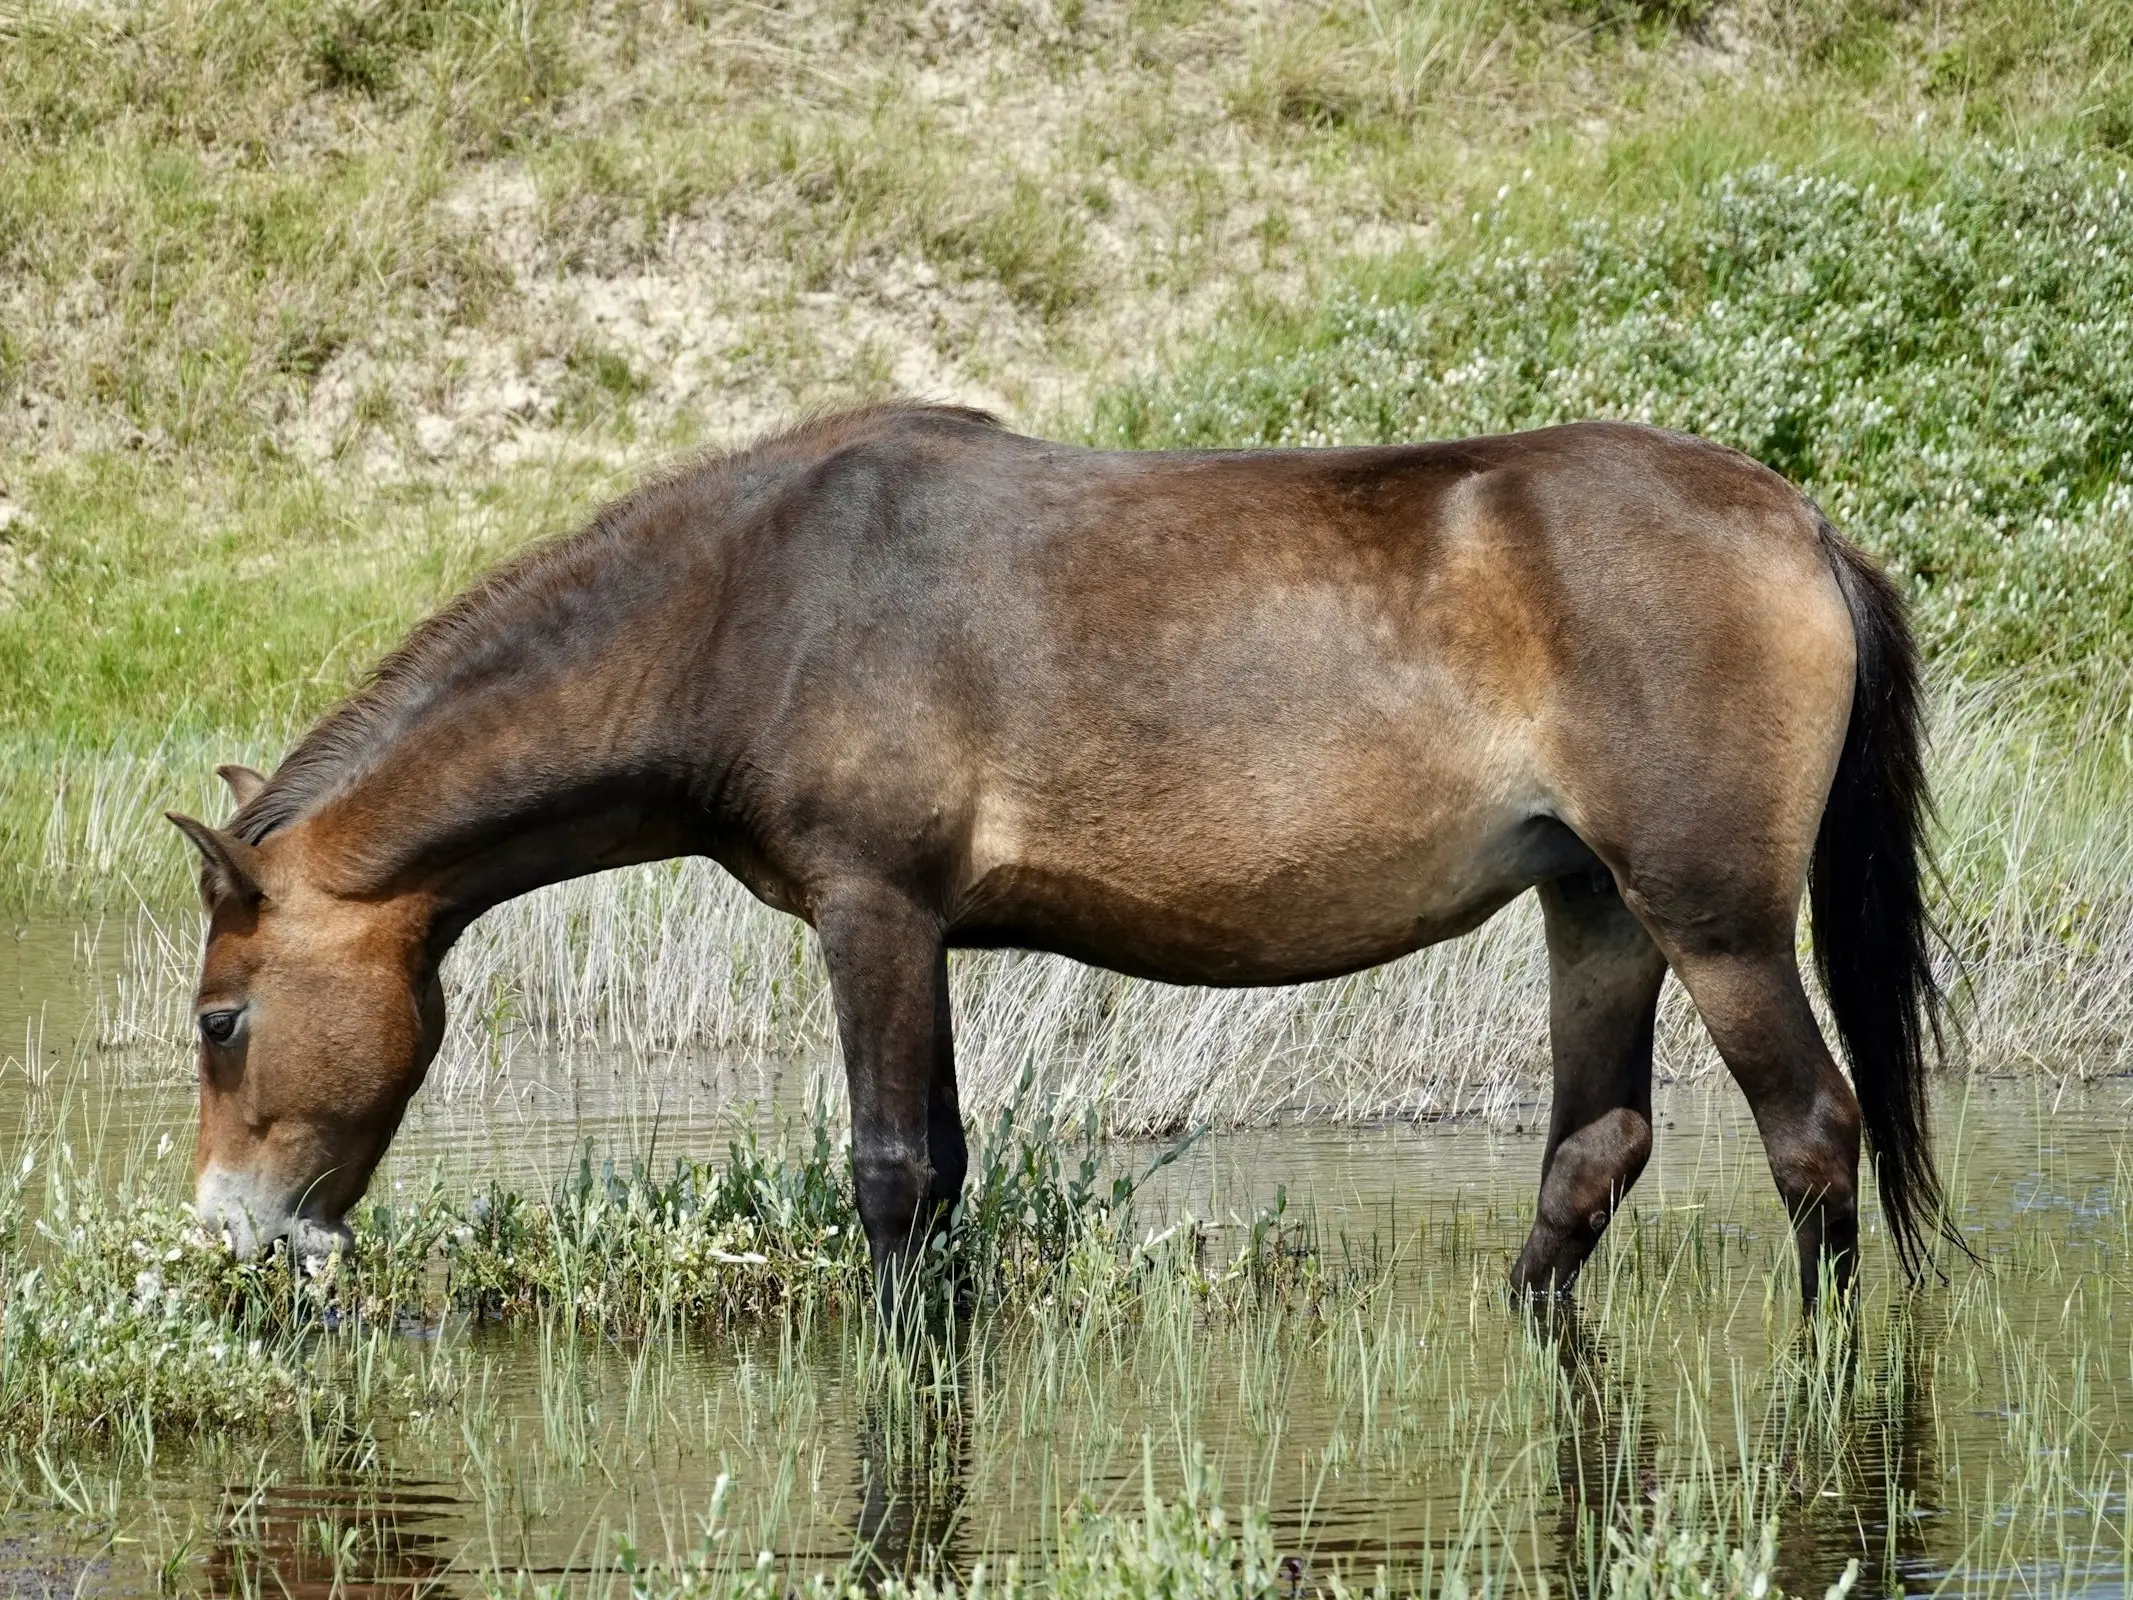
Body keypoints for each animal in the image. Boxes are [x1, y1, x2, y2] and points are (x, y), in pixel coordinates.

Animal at [170, 398, 1953, 1305]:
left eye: (219, 1019)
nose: (228, 1234)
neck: (752, 601)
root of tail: (1797, 521)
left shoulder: (872, 914)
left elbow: (891, 1178)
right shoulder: (925, 937)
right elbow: (947, 1171)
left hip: (1718, 926)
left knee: (1813, 1141)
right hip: (1597, 911)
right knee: (1591, 1161)